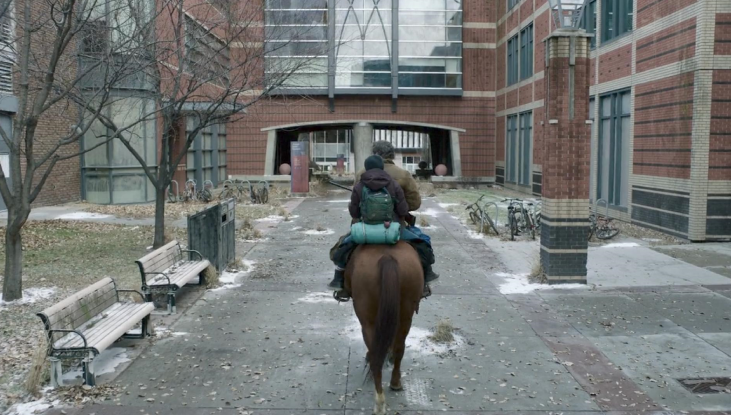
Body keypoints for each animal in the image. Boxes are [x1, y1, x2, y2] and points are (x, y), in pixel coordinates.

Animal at [346, 242, 426, 414]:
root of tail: (387, 257)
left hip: (367, 320)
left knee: (375, 353)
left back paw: (379, 401)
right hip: (405, 315)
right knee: (399, 348)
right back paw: (394, 383)